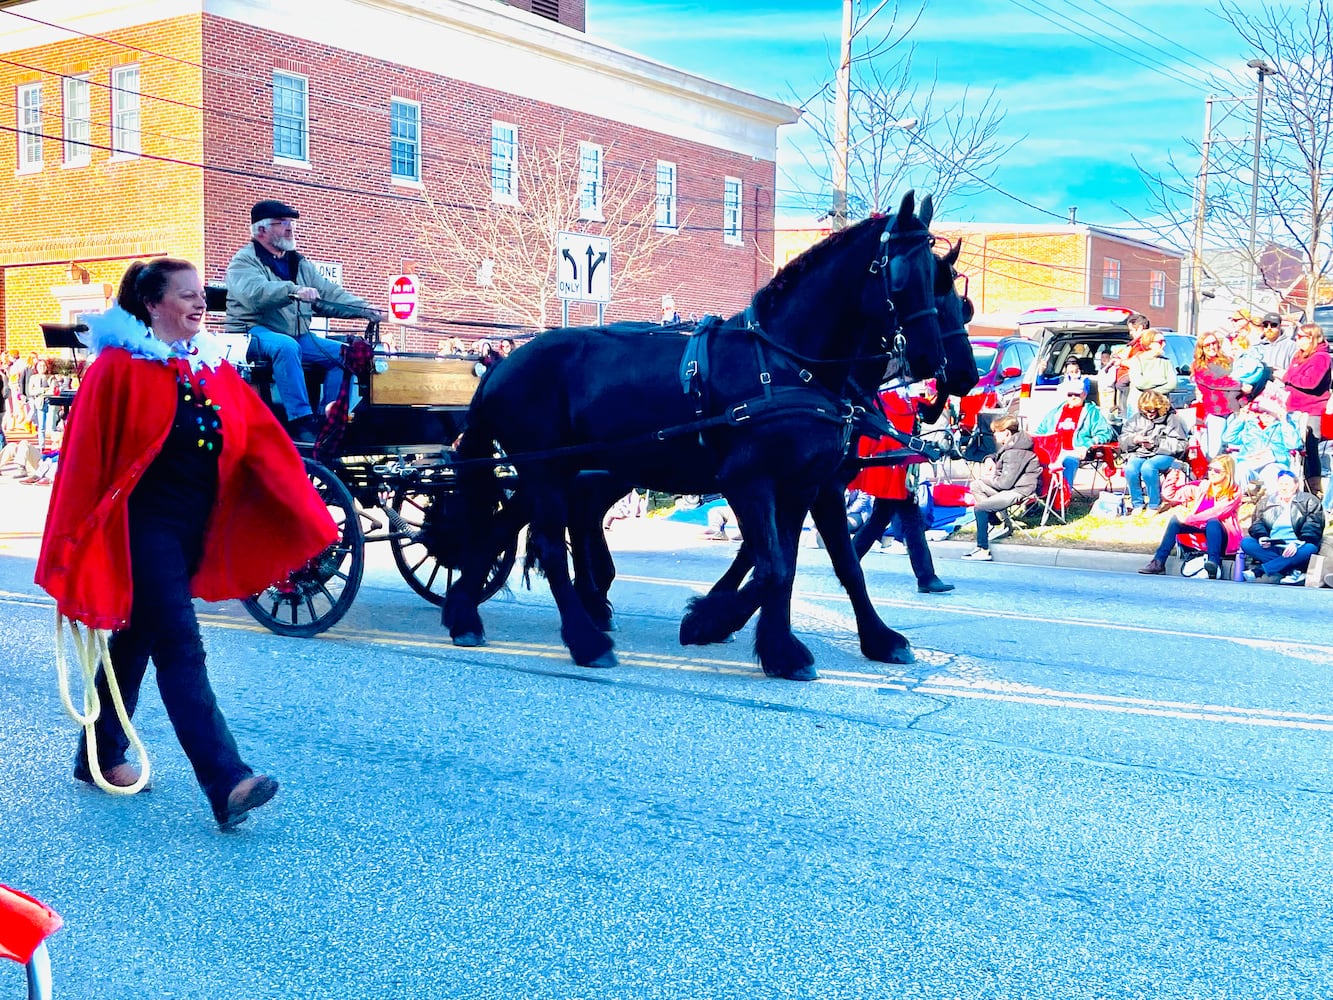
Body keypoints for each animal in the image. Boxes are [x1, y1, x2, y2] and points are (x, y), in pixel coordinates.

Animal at [442, 193, 943, 688]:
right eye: (903, 273)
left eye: (940, 277)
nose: (932, 359)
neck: (783, 365)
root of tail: (499, 365)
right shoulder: (749, 480)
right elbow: (774, 566)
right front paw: (710, 621)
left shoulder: (804, 485)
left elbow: (810, 563)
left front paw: (791, 647)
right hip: (544, 469)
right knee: (547, 545)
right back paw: (587, 641)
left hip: (553, 470)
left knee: (503, 527)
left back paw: (463, 613)